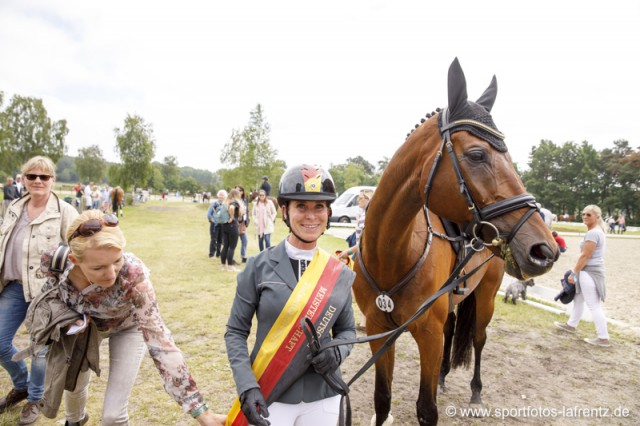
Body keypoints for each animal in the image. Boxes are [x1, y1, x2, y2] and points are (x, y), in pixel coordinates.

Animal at [352, 58, 556, 424]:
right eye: (477, 155)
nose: (544, 250)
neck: (391, 255)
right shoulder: (379, 332)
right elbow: (382, 400)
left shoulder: (428, 336)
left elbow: (426, 409)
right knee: (452, 330)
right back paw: (445, 377)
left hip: (486, 297)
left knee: (478, 338)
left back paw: (475, 392)